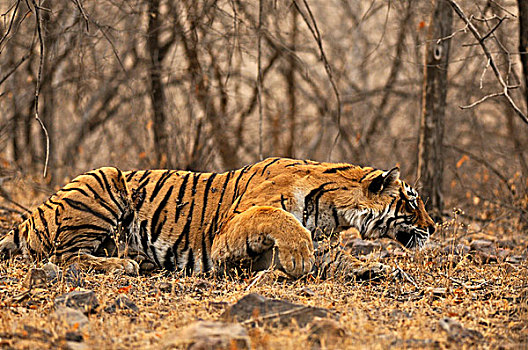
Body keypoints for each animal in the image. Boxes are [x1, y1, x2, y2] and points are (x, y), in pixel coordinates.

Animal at [0, 157, 436, 278]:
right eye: (412, 202)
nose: (434, 228)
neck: (332, 209)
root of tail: (29, 217)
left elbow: (341, 260)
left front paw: (385, 271)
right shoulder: (228, 230)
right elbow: (275, 217)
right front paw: (297, 257)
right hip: (102, 179)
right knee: (62, 256)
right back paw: (123, 265)